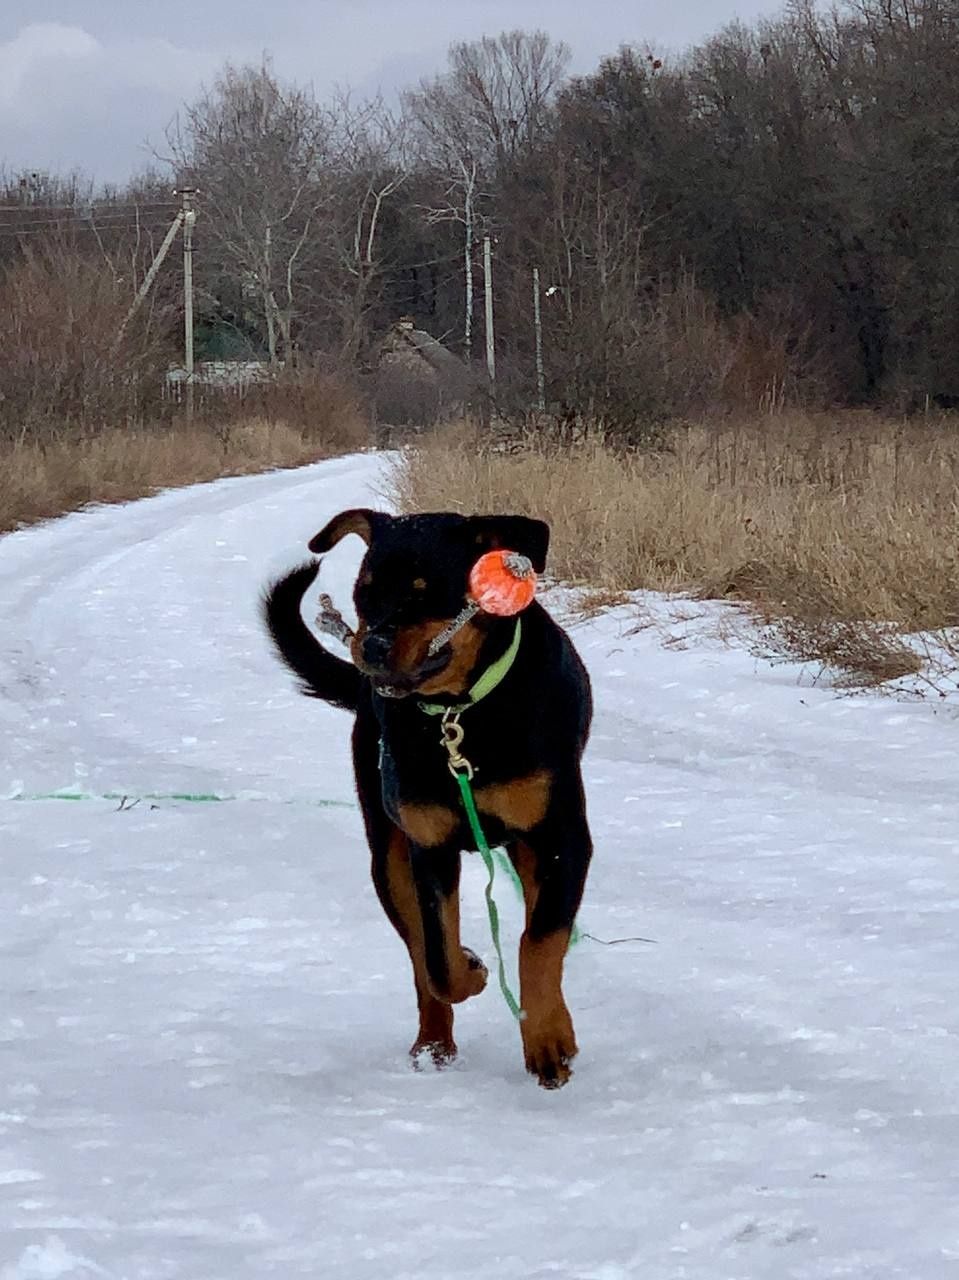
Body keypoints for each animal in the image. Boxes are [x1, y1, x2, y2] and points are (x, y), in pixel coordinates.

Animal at [262, 509, 591, 1090]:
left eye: (425, 592)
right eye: (364, 592)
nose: (369, 646)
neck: (461, 714)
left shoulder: (562, 838)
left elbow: (538, 941)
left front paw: (549, 1038)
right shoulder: (429, 848)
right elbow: (438, 959)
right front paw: (475, 971)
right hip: (387, 860)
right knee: (419, 958)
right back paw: (433, 1045)